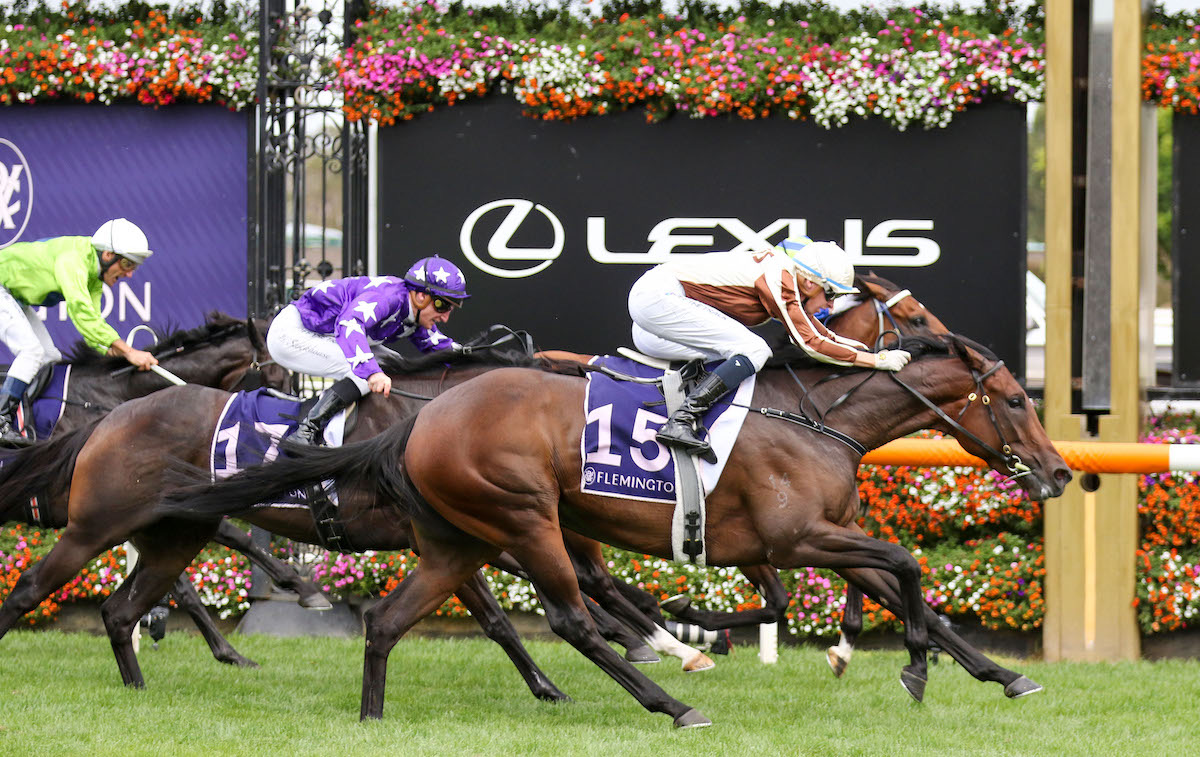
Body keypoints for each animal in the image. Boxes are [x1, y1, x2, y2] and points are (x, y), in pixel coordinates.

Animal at [164, 333, 1075, 729]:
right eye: (1017, 399)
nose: (1059, 472)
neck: (818, 420)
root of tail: (423, 421)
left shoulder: (816, 534)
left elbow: (893, 581)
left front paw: (994, 671)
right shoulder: (798, 538)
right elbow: (903, 564)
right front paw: (915, 664)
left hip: (462, 537)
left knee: (390, 618)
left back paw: (373, 717)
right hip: (525, 515)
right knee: (570, 615)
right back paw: (671, 699)